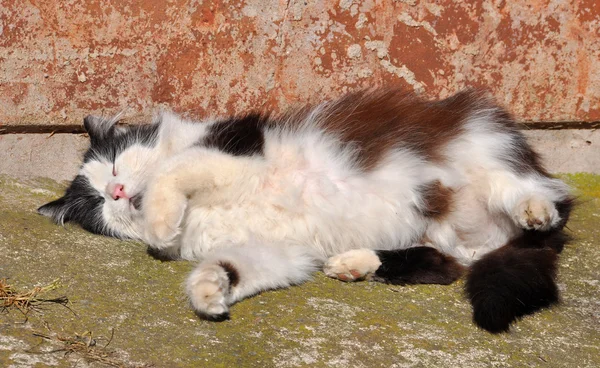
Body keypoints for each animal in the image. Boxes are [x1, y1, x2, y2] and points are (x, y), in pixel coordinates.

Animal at [37, 89, 572, 334]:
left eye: (114, 164)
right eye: (97, 205)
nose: (118, 190)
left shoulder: (236, 149)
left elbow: (174, 170)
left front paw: (159, 224)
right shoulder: (279, 249)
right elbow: (231, 268)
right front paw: (208, 294)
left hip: (480, 140)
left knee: (533, 191)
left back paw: (536, 210)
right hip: (439, 239)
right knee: (443, 264)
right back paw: (354, 264)